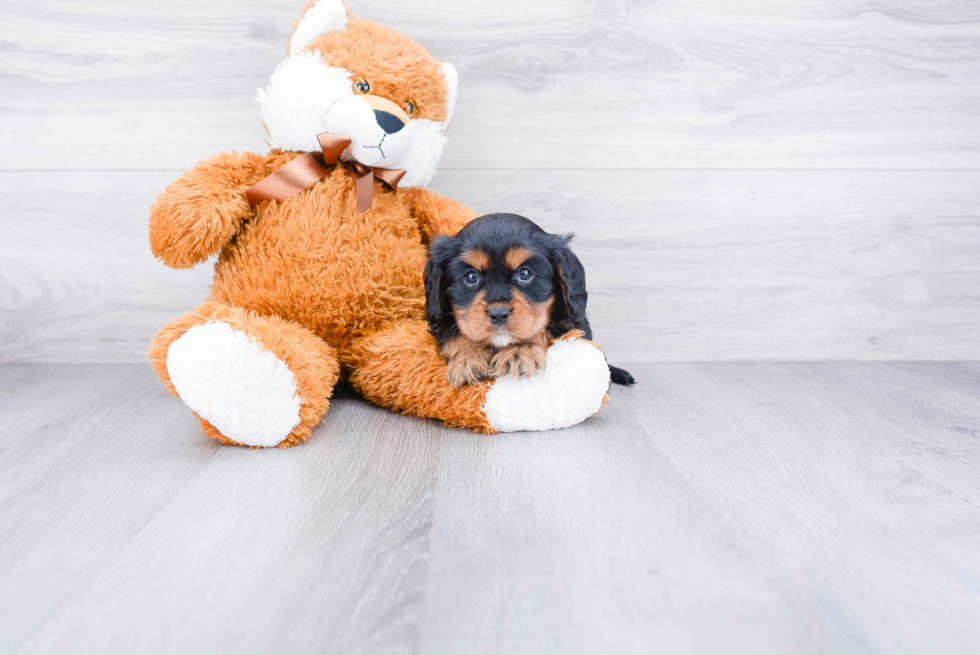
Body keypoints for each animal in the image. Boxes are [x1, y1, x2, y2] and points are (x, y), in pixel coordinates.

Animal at [422, 214, 636, 390]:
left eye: (525, 273)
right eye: (471, 277)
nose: (498, 314)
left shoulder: (574, 324)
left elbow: (544, 327)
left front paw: (519, 351)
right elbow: (454, 333)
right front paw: (469, 357)